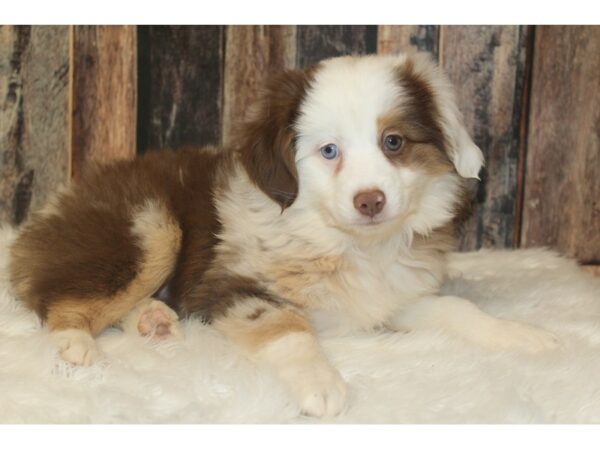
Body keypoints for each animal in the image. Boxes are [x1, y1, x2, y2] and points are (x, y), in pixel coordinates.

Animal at [8, 53, 556, 418]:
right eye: (329, 151)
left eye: (394, 142)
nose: (370, 201)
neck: (348, 246)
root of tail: (58, 203)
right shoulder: (232, 285)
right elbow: (288, 329)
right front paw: (322, 384)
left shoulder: (393, 297)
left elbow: (459, 309)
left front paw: (525, 335)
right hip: (150, 226)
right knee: (59, 299)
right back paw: (76, 345)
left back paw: (154, 322)